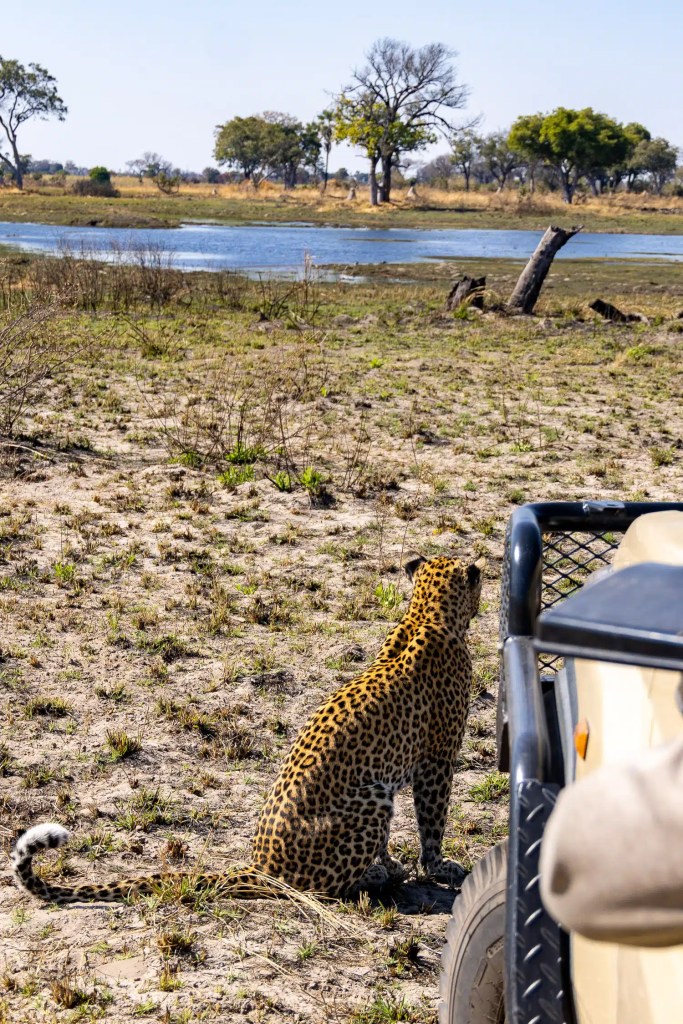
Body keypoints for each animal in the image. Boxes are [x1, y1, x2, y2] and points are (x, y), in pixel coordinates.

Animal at [11, 555, 482, 905]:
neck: (425, 612)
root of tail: (261, 866)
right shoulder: (438, 759)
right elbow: (433, 821)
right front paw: (439, 866)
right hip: (374, 797)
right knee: (323, 890)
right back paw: (380, 876)